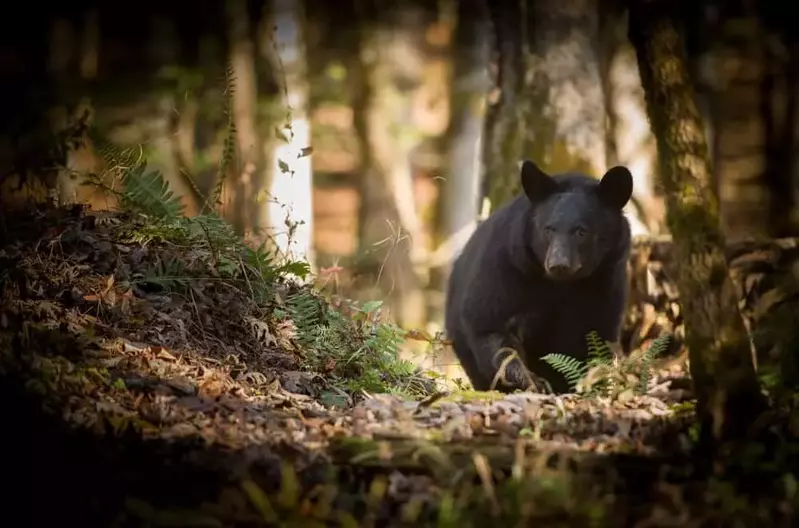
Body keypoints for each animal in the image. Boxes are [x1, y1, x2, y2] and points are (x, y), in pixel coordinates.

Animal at [444, 159, 632, 394]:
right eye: (548, 229)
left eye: (581, 231)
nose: (558, 264)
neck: (561, 285)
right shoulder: (505, 268)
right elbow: (490, 326)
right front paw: (533, 381)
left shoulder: (605, 281)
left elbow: (595, 335)